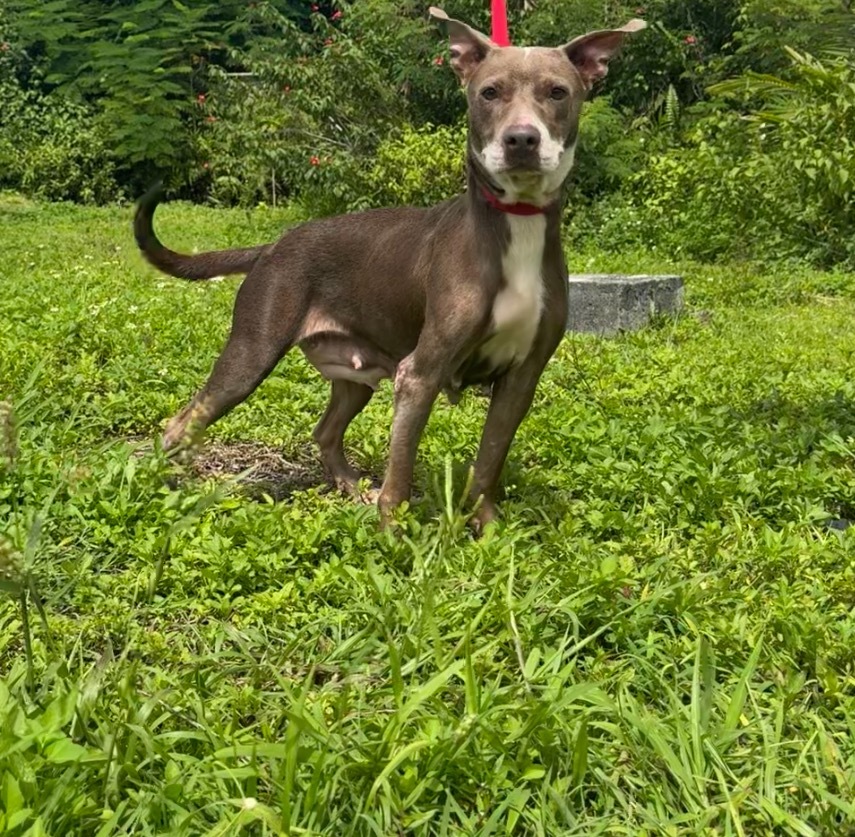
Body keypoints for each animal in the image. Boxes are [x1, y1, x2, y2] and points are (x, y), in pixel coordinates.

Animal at [135, 6, 640, 528]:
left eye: (557, 92)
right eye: (489, 92)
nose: (521, 139)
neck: (515, 223)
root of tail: (274, 245)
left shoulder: (521, 378)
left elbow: (487, 464)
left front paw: (487, 531)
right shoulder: (420, 374)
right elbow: (400, 471)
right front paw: (394, 534)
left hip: (353, 376)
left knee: (325, 431)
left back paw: (349, 490)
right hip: (250, 354)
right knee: (184, 421)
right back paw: (163, 490)